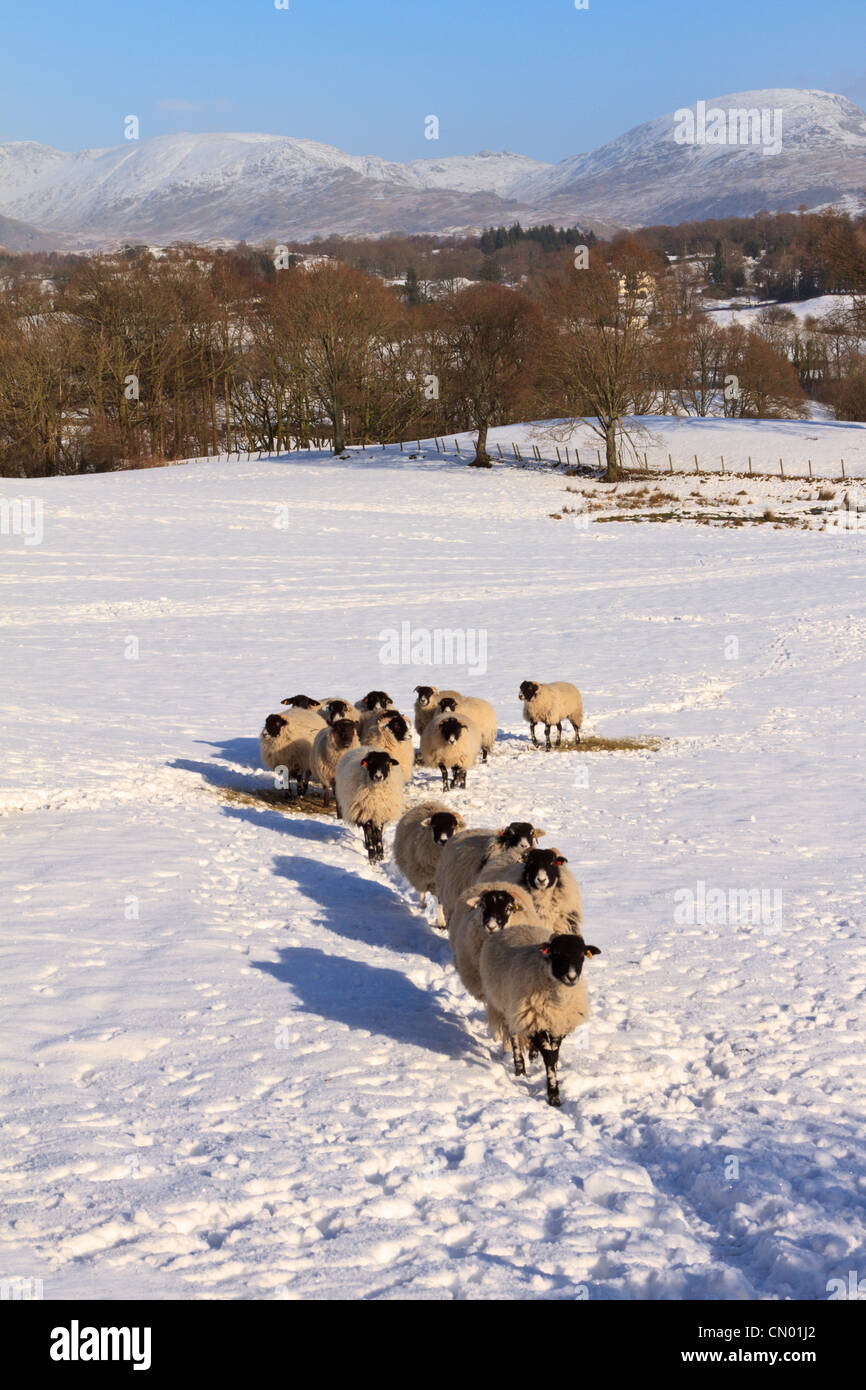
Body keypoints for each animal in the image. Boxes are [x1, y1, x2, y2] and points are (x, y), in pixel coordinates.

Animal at [480, 922, 603, 1106]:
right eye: (556, 953)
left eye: (582, 954)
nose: (572, 977)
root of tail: (516, 927)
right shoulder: (531, 1019)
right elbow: (549, 1057)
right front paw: (553, 1096)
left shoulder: (558, 1023)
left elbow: (554, 1055)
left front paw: (554, 1088)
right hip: (508, 1006)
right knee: (513, 1035)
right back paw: (520, 1068)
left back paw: (532, 1056)